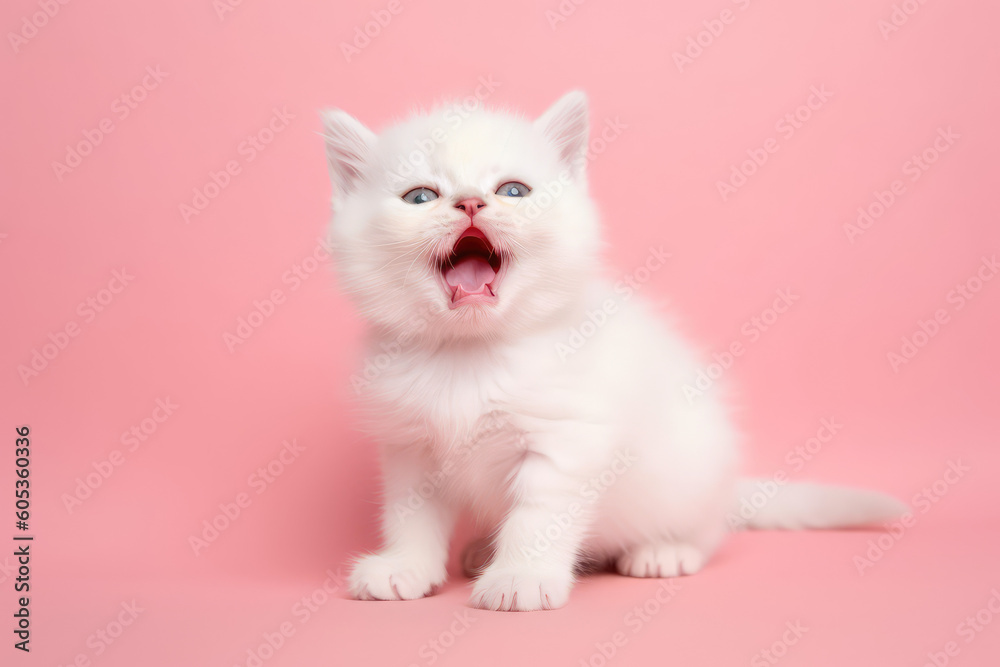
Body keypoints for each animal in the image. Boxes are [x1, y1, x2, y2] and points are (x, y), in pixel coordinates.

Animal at [322, 92, 908, 612]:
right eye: (419, 197)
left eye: (513, 189)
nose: (469, 202)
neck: (470, 353)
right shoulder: (409, 447)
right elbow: (410, 514)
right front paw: (406, 566)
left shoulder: (565, 439)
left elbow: (537, 516)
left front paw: (521, 577)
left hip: (695, 469)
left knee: (708, 530)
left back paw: (666, 549)